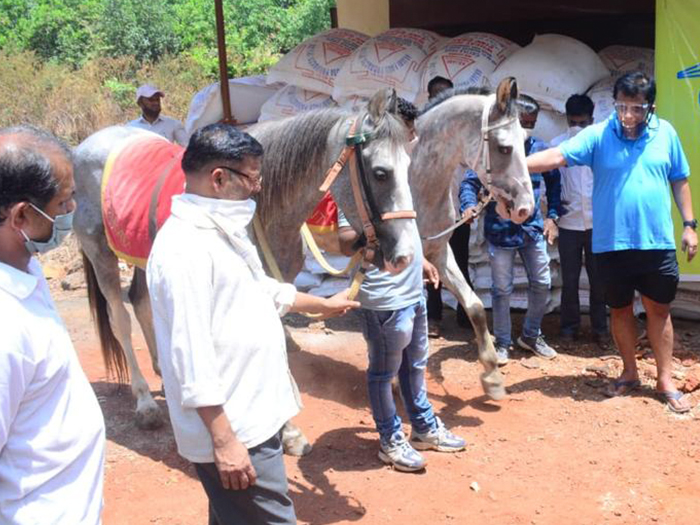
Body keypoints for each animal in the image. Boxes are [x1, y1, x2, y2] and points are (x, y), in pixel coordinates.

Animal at [72, 88, 416, 448]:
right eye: (380, 173)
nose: (404, 255)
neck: (260, 208)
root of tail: (86, 145)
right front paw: (287, 428)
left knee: (140, 302)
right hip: (101, 255)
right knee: (120, 320)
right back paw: (144, 403)